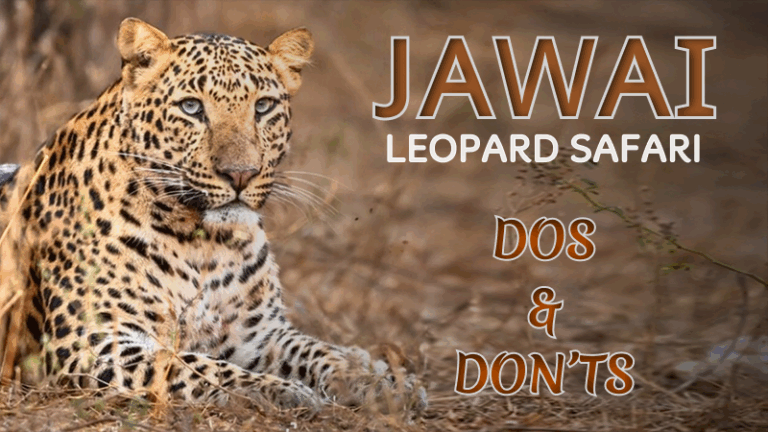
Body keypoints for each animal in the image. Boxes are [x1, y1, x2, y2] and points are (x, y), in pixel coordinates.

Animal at [0, 18, 425, 412]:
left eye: (263, 107)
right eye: (191, 107)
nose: (240, 173)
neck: (203, 246)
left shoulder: (259, 335)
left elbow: (318, 352)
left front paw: (381, 383)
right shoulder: (96, 343)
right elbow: (194, 366)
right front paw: (281, 391)